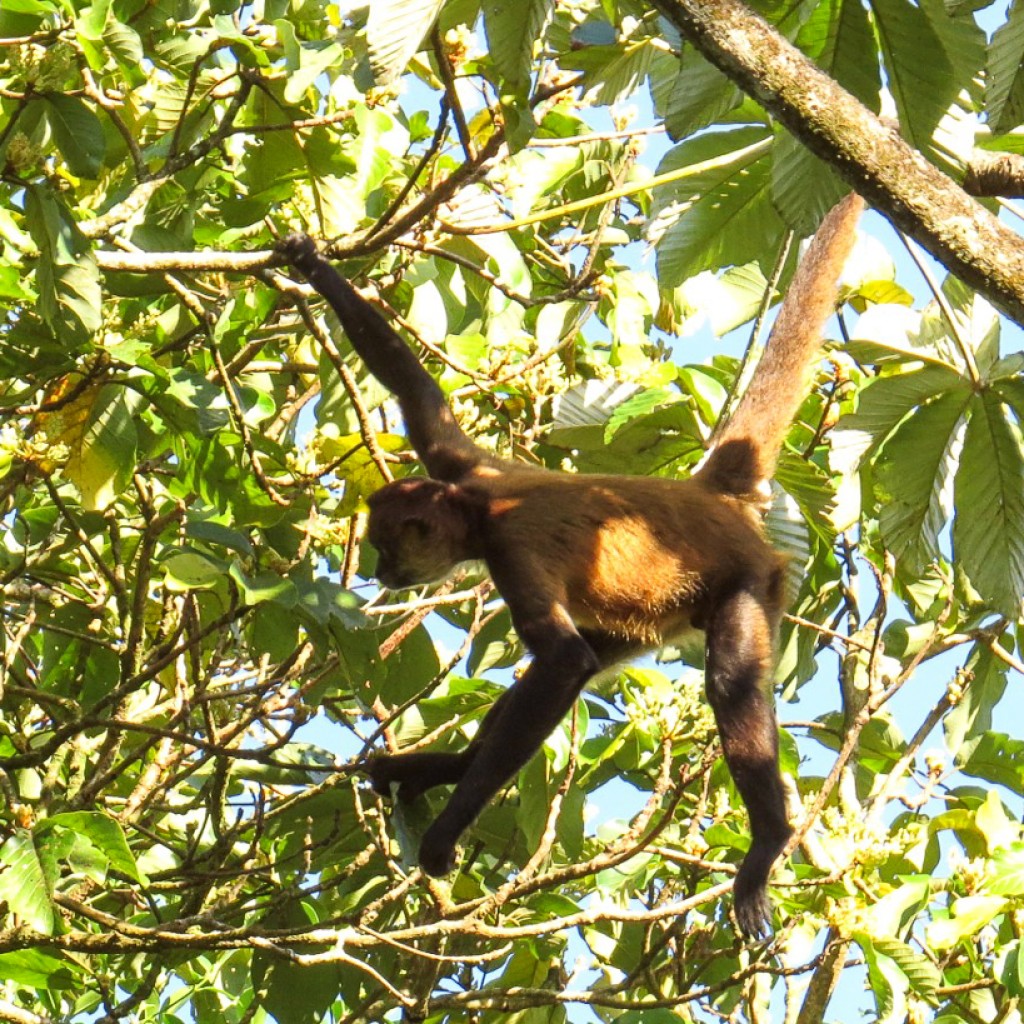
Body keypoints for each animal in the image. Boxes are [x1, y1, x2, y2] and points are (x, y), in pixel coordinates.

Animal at [277, 191, 863, 936]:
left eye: (384, 547)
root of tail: (711, 495)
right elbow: (424, 403)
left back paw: (766, 844)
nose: (378, 575)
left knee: (726, 679)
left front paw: (443, 836)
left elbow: (563, 663)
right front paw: (313, 265)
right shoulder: (462, 465)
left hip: (752, 583)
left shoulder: (511, 547)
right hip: (661, 615)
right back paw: (445, 768)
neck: (479, 507)